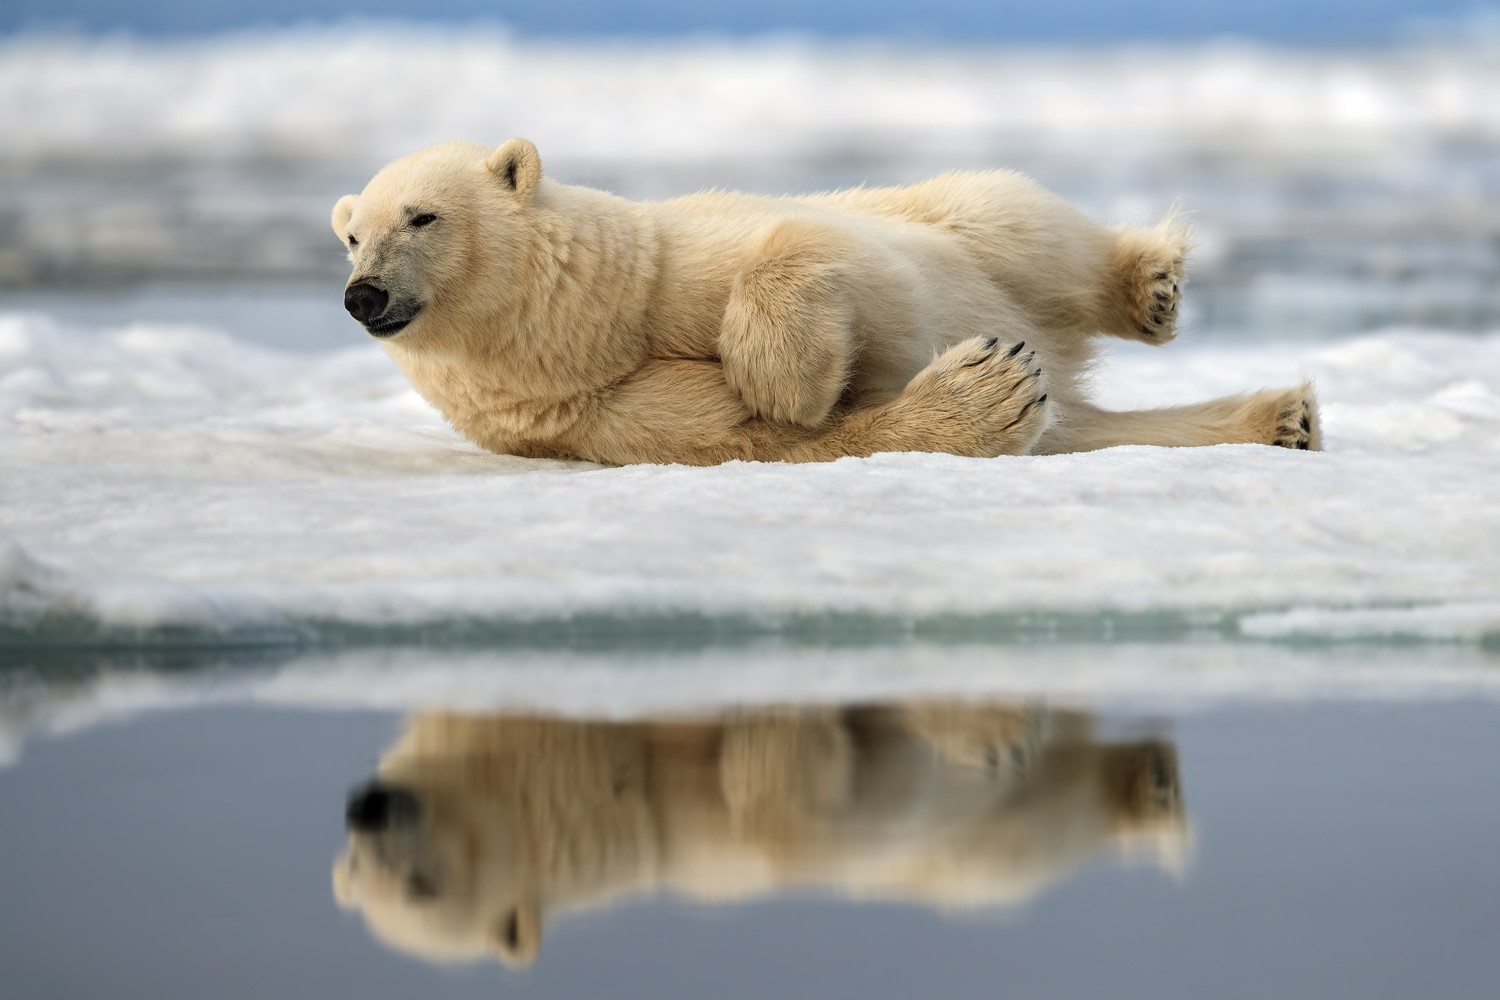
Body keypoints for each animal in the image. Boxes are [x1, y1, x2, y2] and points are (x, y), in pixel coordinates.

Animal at [331, 139, 1320, 465]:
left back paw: (1151, 288)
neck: (588, 329)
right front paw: (990, 389)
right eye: (351, 236)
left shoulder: (670, 255)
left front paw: (779, 374)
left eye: (421, 215)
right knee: (1095, 428)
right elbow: (774, 442)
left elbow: (808, 253)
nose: (363, 293)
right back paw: (1278, 418)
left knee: (1009, 217)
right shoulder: (589, 415)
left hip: (949, 224)